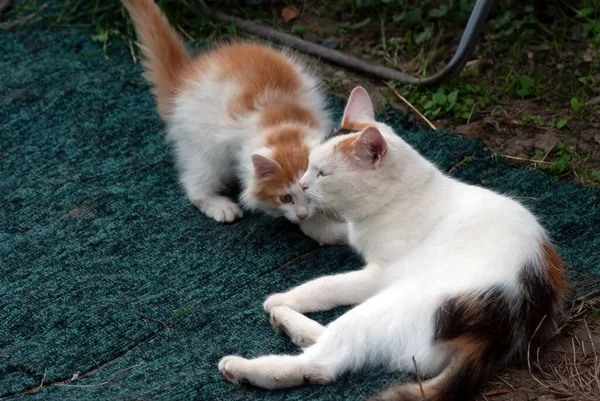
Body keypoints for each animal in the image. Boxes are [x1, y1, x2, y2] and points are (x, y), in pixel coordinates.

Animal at [217, 87, 568, 400]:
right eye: (308, 165)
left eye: (323, 174)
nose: (302, 183)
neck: (396, 199)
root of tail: (502, 331)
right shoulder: (355, 230)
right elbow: (338, 231)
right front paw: (311, 224)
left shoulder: (379, 273)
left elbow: (327, 285)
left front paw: (285, 296)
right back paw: (290, 324)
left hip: (389, 302)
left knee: (324, 361)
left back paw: (246, 363)